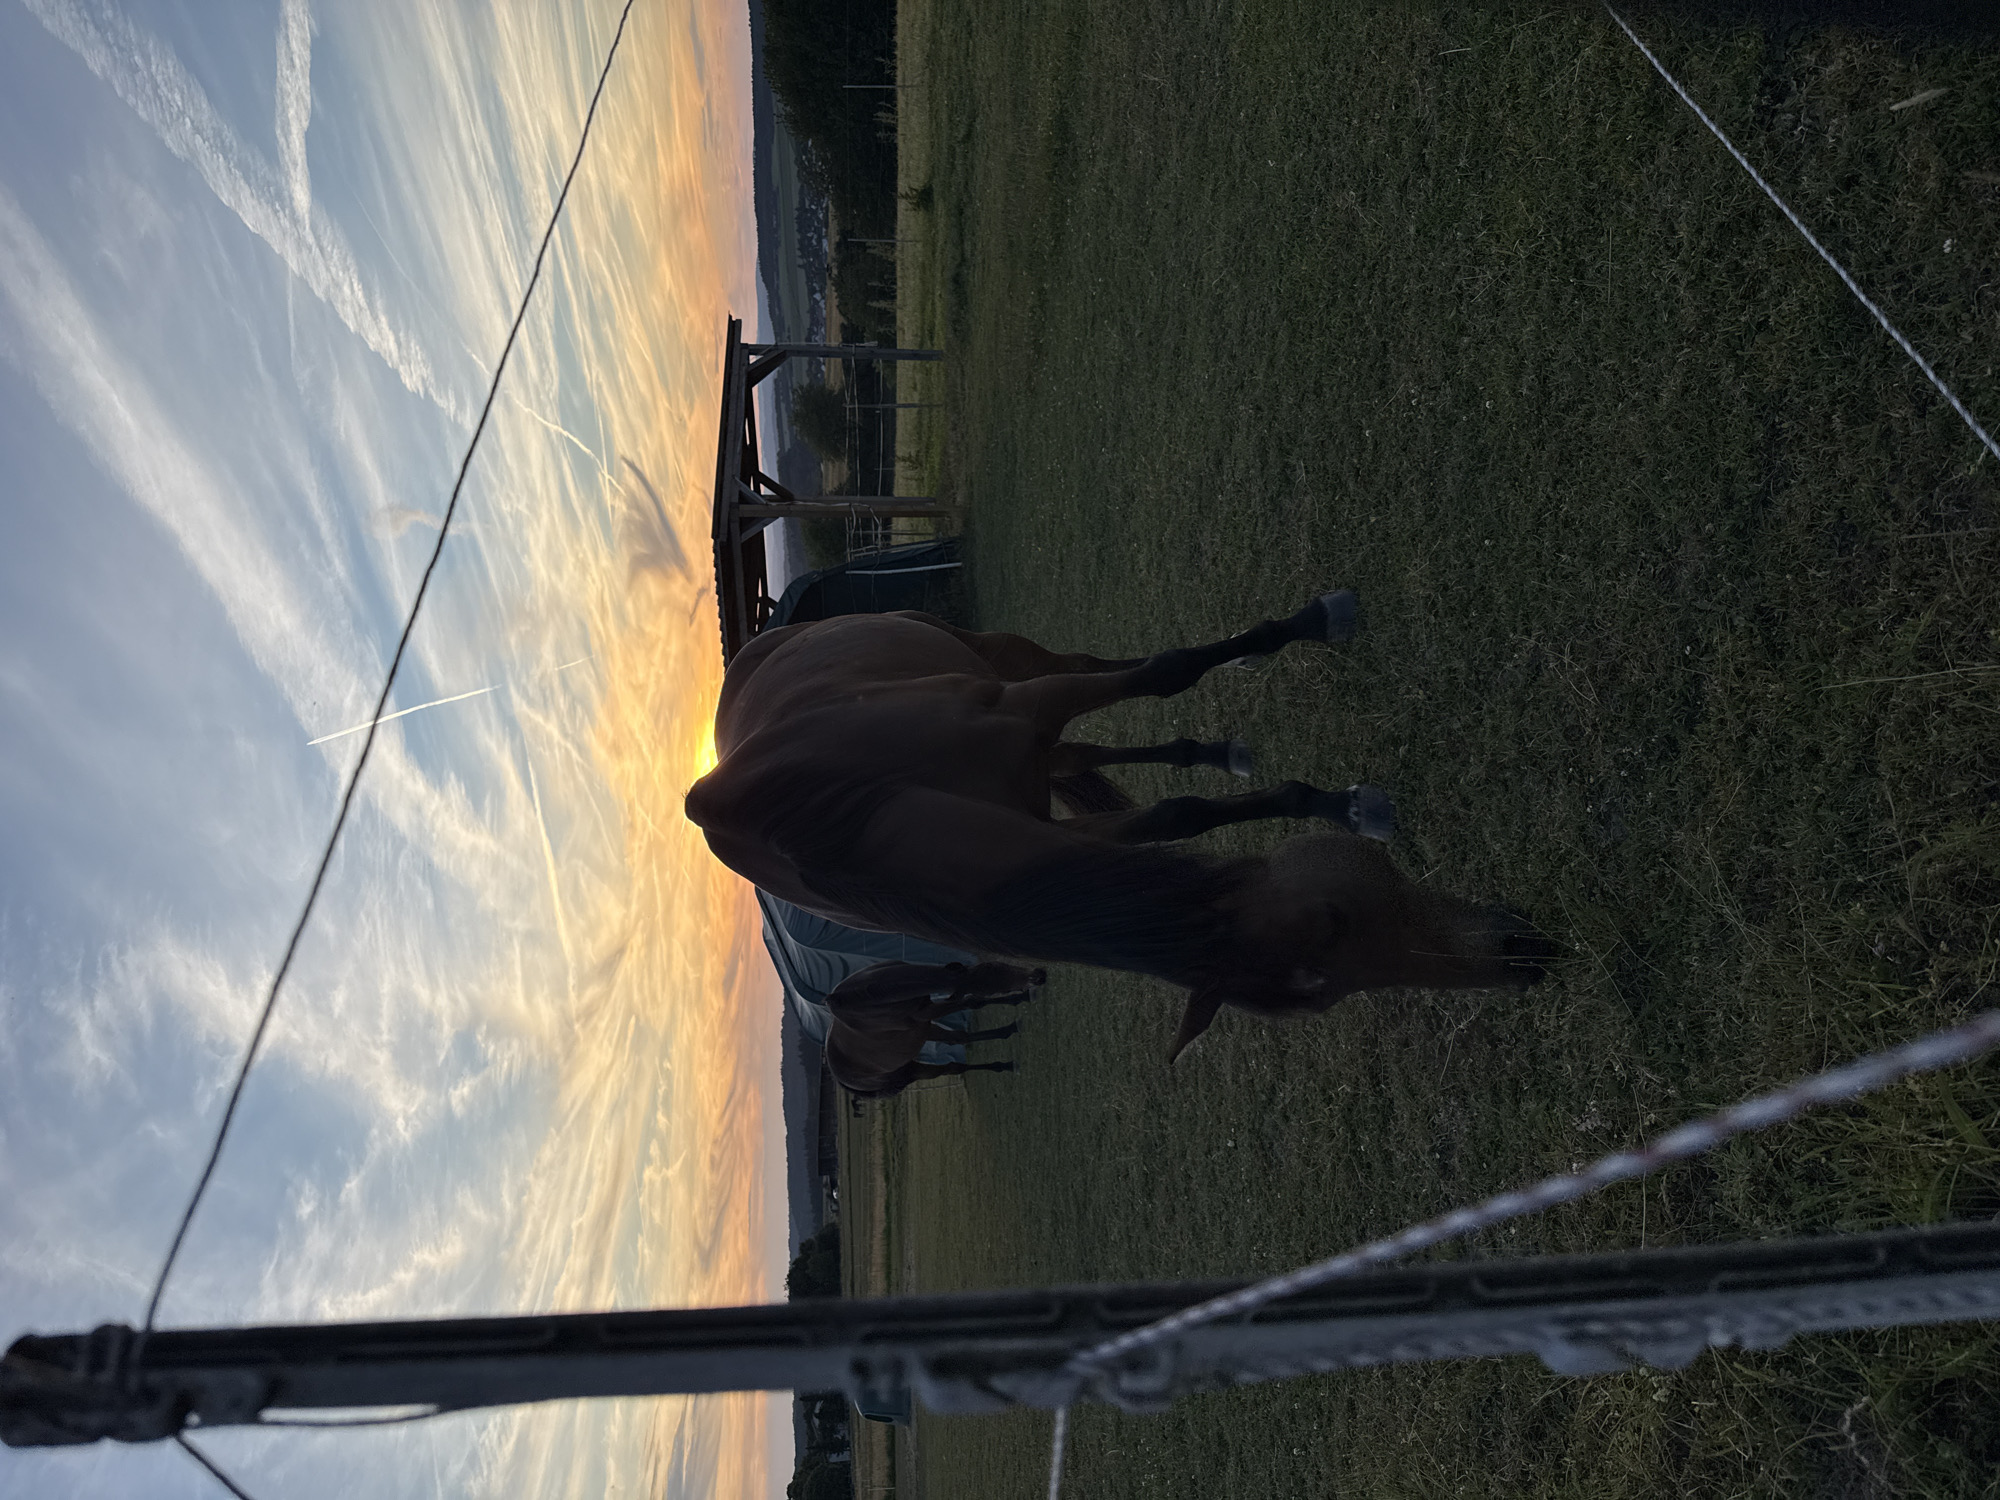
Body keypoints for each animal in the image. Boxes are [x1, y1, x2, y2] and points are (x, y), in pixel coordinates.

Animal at [686, 589, 1552, 1060]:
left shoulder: (1027, 704)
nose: (1522, 955)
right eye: (1333, 935)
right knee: (1093, 745)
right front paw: (1322, 800)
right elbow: (1177, 812)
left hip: (1001, 658)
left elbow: (1166, 674)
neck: (854, 808)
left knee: (1095, 669)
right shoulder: (1068, 828)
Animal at [823, 959, 1042, 1099]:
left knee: (958, 1039)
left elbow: (973, 1003)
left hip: (922, 1032)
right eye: (989, 968)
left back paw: (1007, 1044)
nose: (1039, 976)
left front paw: (1022, 997)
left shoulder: (925, 1014)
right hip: (912, 1068)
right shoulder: (927, 1013)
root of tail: (839, 1078)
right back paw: (1004, 1063)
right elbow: (973, 1001)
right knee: (952, 1067)